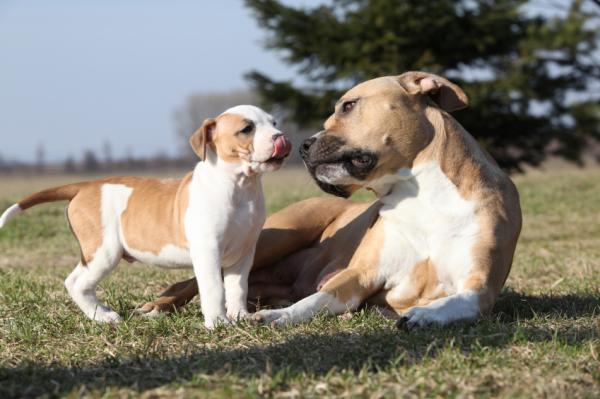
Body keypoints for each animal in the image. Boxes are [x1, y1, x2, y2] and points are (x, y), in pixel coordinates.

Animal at [0, 104, 292, 330]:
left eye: (274, 122)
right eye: (247, 129)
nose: (281, 137)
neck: (240, 185)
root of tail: (85, 185)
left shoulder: (243, 253)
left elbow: (237, 288)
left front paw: (240, 316)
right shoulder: (208, 251)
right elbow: (214, 289)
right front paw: (218, 323)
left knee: (75, 280)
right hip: (104, 250)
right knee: (76, 283)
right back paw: (104, 317)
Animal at [135, 73, 520, 330]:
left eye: (349, 106)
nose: (304, 145)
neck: (420, 194)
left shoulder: (481, 288)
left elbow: (459, 300)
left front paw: (425, 314)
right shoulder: (359, 274)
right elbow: (316, 299)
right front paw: (276, 317)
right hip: (274, 237)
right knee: (190, 281)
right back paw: (157, 306)